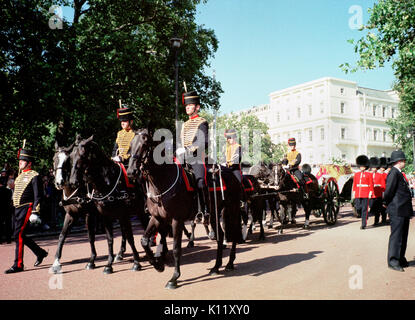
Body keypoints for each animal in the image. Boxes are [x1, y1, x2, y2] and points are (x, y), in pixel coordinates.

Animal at [127, 129, 244, 290]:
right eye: (131, 145)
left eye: (145, 144)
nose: (131, 171)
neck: (162, 182)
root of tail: (232, 174)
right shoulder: (157, 218)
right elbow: (144, 241)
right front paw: (158, 266)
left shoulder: (177, 220)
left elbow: (177, 248)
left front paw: (174, 278)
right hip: (214, 213)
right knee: (220, 236)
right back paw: (216, 267)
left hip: (231, 208)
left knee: (232, 232)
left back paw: (230, 263)